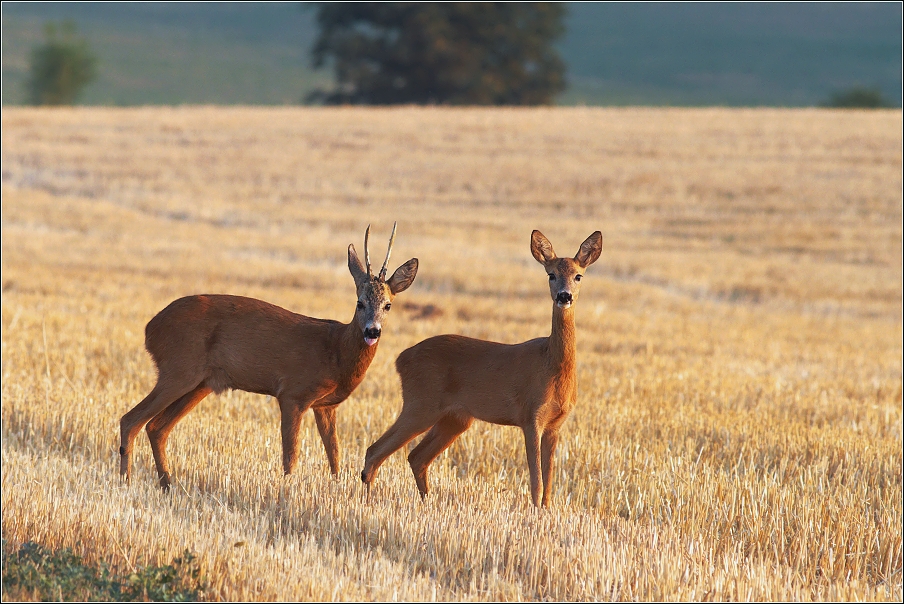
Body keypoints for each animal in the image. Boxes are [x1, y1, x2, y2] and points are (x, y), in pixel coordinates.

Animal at [118, 224, 418, 488]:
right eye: (360, 303)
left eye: (388, 305)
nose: (372, 331)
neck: (336, 353)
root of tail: (151, 328)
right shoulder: (293, 393)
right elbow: (291, 456)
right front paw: (287, 492)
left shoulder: (326, 405)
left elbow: (335, 457)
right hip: (179, 369)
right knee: (131, 420)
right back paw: (126, 482)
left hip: (201, 383)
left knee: (156, 427)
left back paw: (167, 485)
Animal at [358, 229, 600, 508]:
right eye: (551, 274)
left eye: (578, 275)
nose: (564, 296)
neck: (552, 366)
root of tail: (401, 359)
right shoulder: (530, 416)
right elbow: (536, 482)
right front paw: (534, 511)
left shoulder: (555, 424)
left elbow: (548, 484)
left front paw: (546, 512)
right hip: (421, 403)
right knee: (375, 451)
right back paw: (367, 500)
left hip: (455, 418)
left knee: (416, 457)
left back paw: (427, 502)